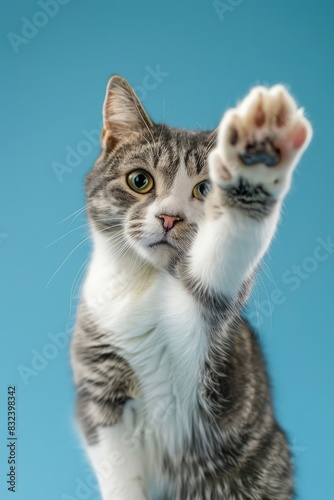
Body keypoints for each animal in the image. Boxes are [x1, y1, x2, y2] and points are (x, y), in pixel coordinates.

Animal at [71, 75, 314, 500]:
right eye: (139, 180)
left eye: (205, 190)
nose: (170, 217)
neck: (144, 283)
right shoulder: (101, 391)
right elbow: (118, 470)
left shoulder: (203, 333)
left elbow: (220, 258)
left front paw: (258, 154)